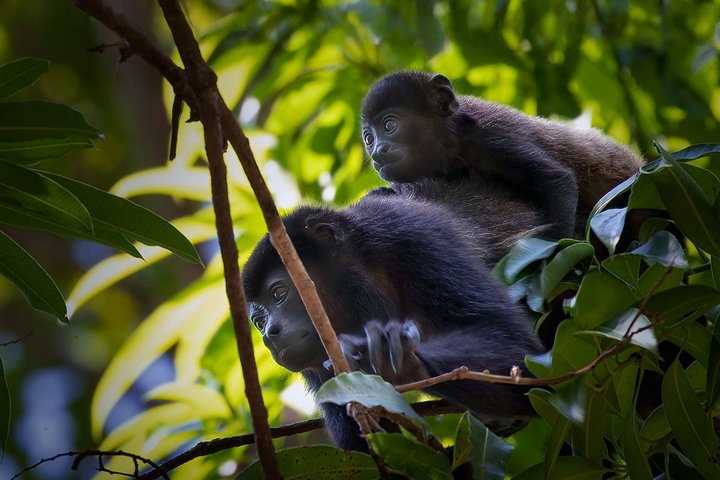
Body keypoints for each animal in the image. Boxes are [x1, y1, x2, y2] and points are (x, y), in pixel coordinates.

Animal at [242, 192, 545, 452]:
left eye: (279, 293)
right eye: (258, 321)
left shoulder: (414, 236)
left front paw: (391, 355)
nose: (270, 334)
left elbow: (516, 346)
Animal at [360, 70, 644, 240]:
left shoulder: (493, 136)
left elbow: (555, 179)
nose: (378, 152)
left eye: (389, 125)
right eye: (368, 138)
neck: (453, 142)